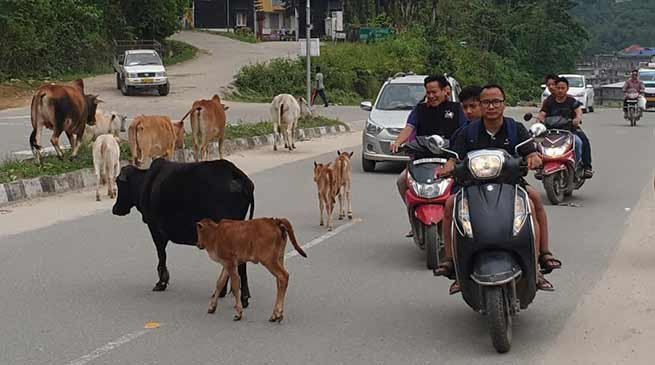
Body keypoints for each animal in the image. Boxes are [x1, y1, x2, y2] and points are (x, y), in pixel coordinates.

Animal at [111, 158, 255, 306]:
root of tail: (237, 174)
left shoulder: (155, 229)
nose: (115, 209)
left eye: (118, 182)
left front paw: (161, 283)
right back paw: (227, 293)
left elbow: (161, 255)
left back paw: (242, 297)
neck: (145, 183)